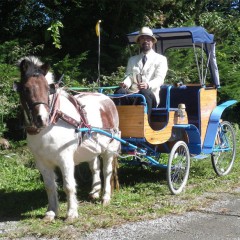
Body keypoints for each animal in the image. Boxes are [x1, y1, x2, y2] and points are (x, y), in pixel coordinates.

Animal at [15, 56, 120, 221]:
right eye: (26, 89)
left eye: (47, 89)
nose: (41, 119)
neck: (52, 123)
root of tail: (107, 99)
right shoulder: (42, 162)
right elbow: (50, 187)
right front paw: (51, 212)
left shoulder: (65, 159)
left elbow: (69, 186)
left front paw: (71, 213)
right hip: (92, 149)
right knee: (95, 168)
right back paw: (95, 192)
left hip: (109, 148)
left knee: (107, 171)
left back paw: (105, 197)